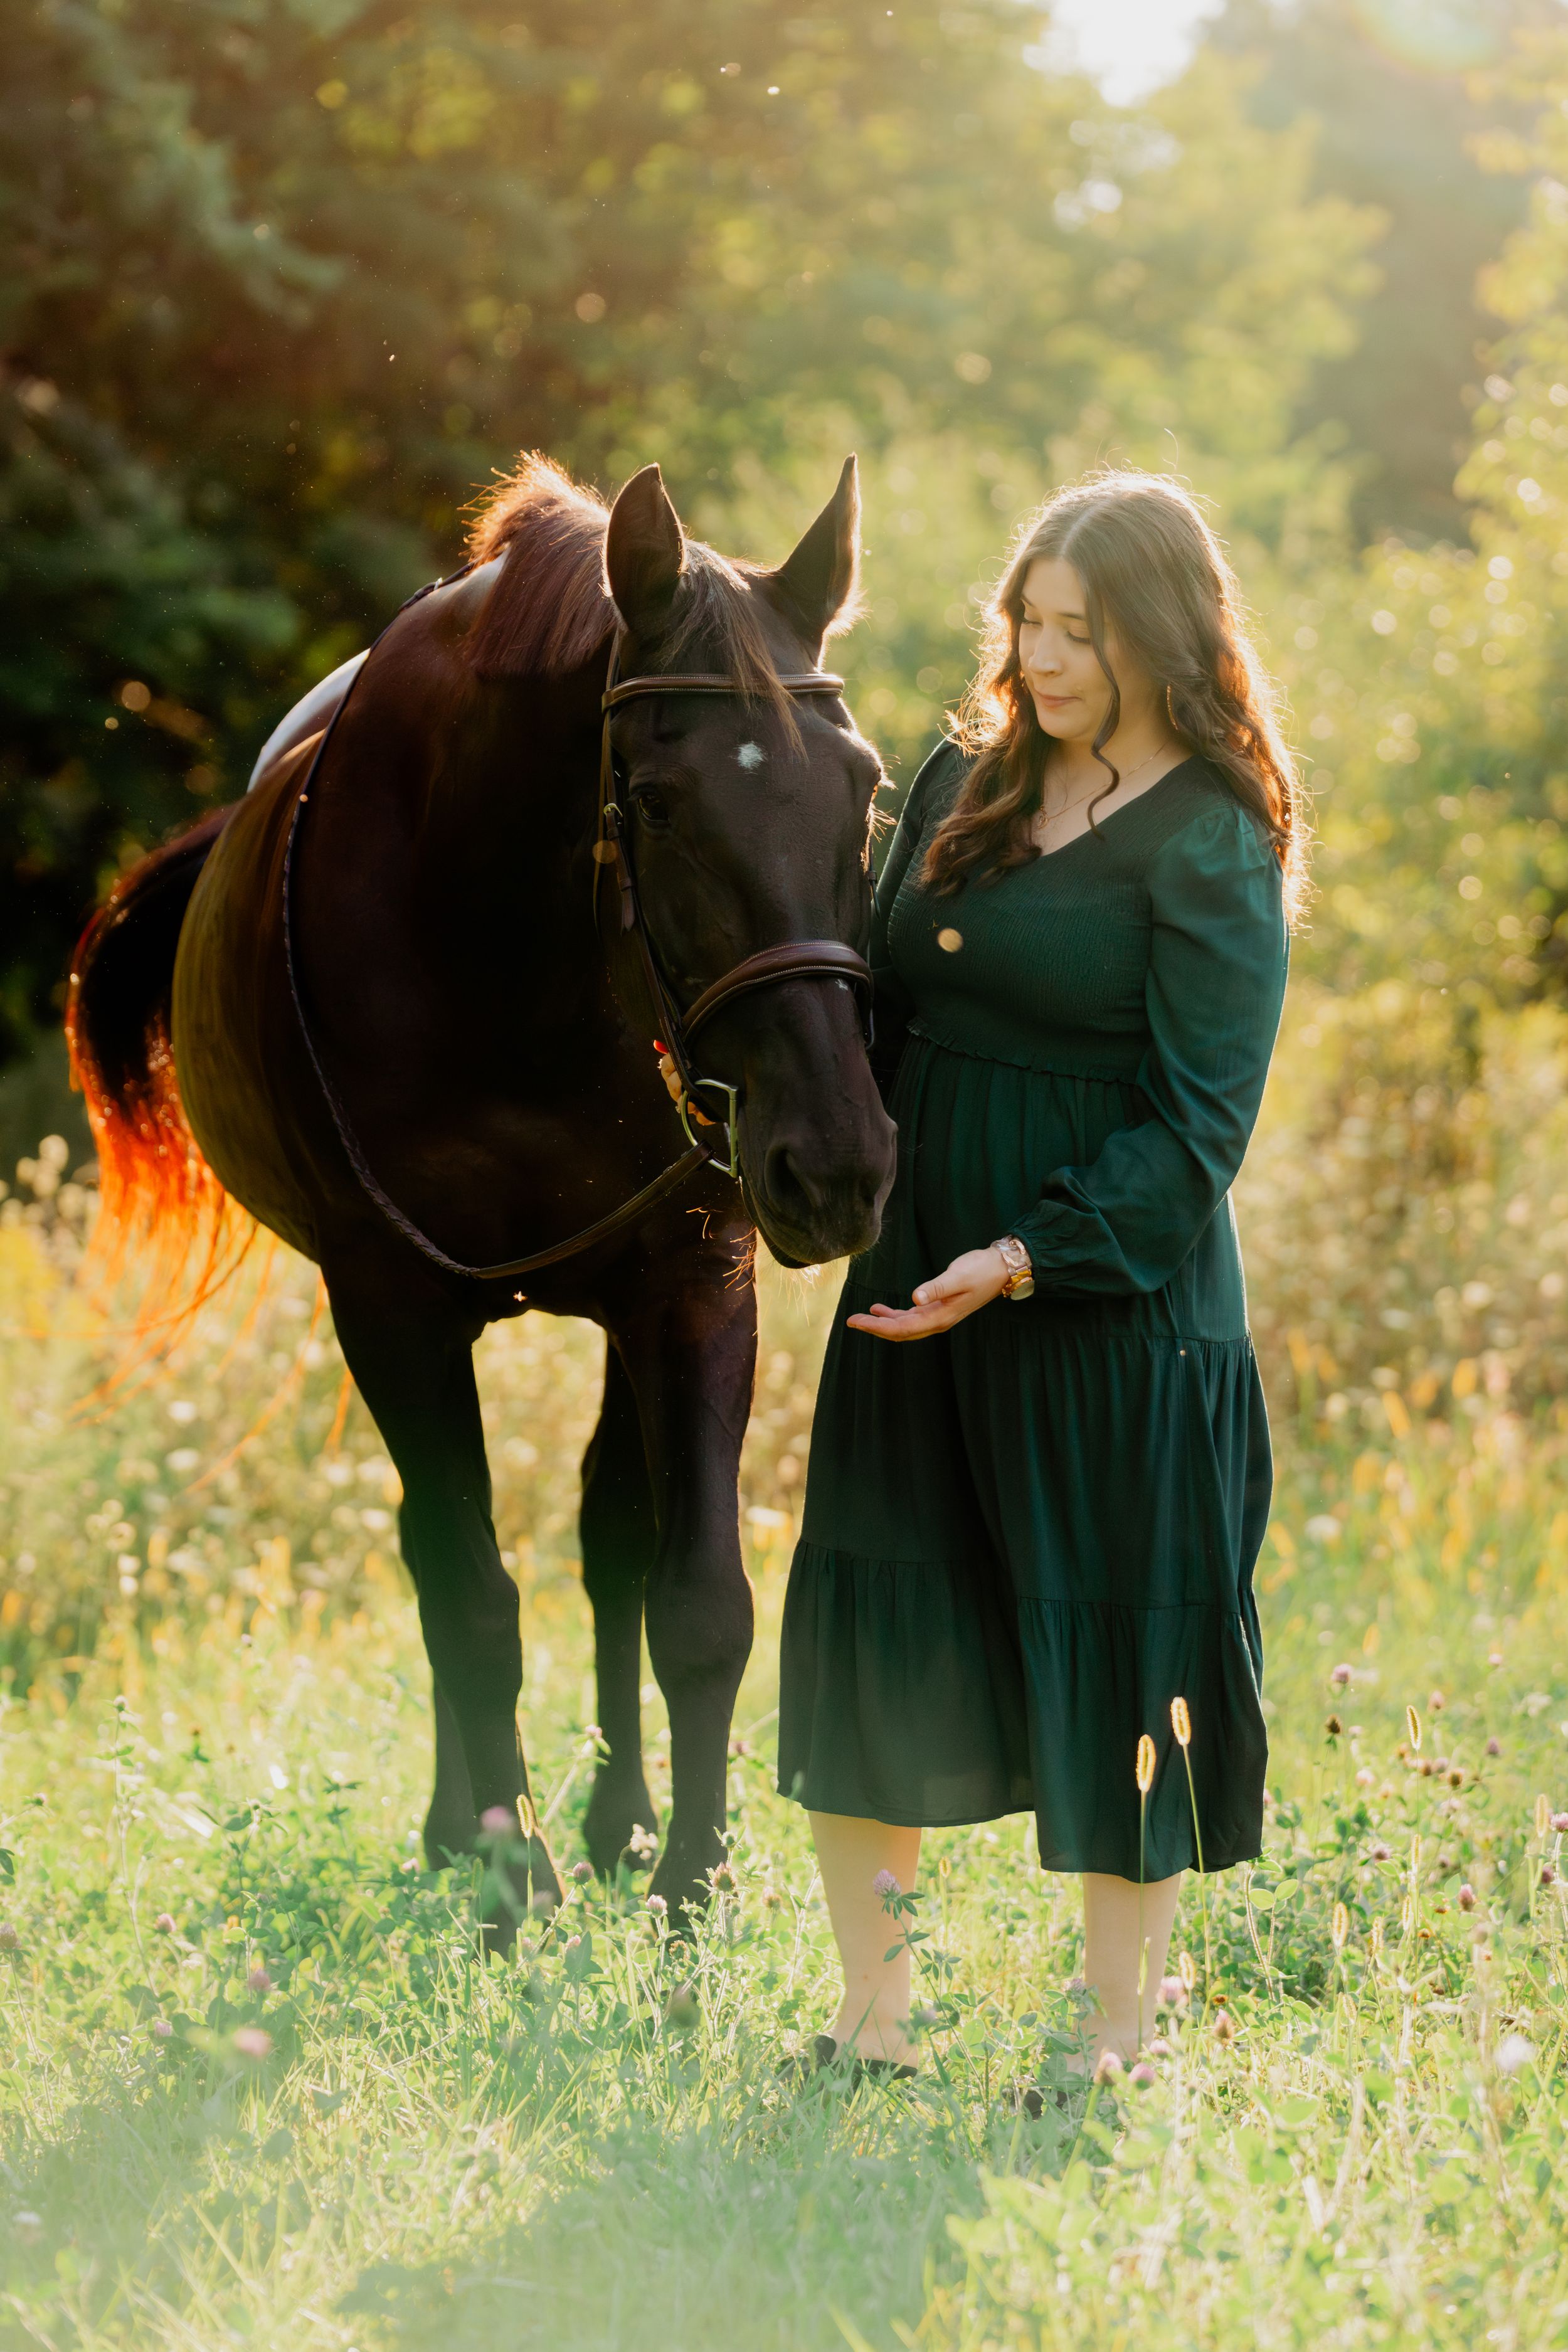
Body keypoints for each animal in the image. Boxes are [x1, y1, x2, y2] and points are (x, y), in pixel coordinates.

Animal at [67, 453, 896, 1938]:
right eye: (659, 801)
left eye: (861, 787)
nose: (837, 1163)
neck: (514, 958)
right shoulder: (391, 1308)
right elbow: (467, 1597)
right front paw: (515, 1886)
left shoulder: (692, 1280)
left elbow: (695, 1596)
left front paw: (692, 1882)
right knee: (433, 1548)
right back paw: (465, 1831)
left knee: (607, 1536)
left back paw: (620, 1821)